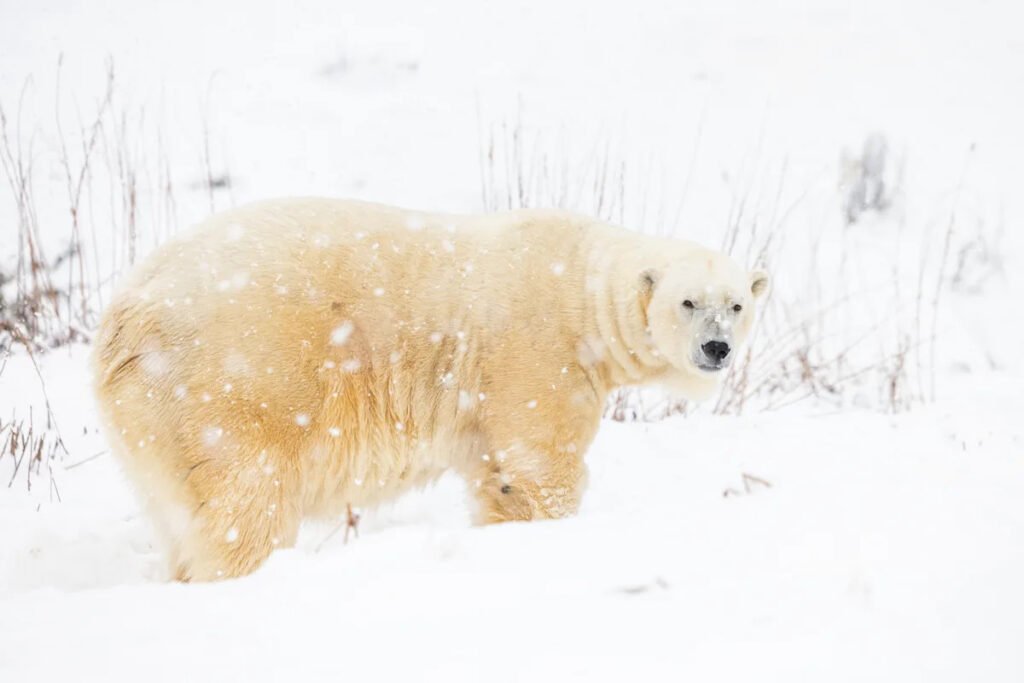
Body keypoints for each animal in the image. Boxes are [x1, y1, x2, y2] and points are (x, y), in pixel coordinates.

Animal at [92, 198, 769, 581]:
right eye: (688, 302)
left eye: (737, 304)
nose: (716, 348)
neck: (581, 286)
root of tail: (125, 316)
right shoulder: (537, 354)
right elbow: (542, 461)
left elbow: (496, 474)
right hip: (231, 384)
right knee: (246, 504)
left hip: (151, 420)